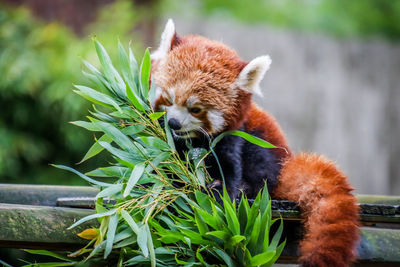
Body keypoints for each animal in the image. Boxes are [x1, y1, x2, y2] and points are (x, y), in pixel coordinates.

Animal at [149, 19, 360, 267]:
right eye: (168, 98)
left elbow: (226, 176)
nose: (173, 123)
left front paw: (214, 191)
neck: (187, 141)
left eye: (196, 109)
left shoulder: (232, 137)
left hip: (263, 141)